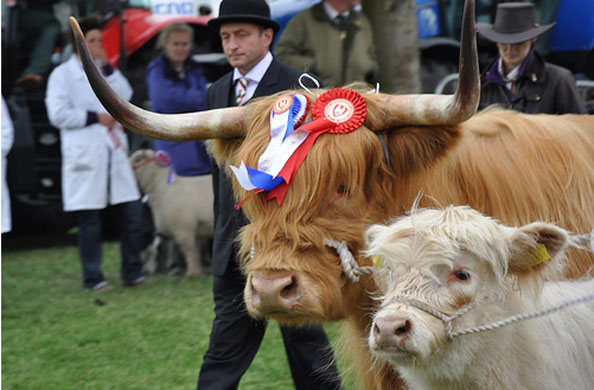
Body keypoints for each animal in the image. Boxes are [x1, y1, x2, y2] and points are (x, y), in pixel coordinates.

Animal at [131, 149, 214, 278]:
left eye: (137, 160)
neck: (161, 187)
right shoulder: (193, 229)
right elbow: (195, 251)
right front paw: (197, 272)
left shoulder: (183, 228)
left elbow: (189, 251)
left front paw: (192, 274)